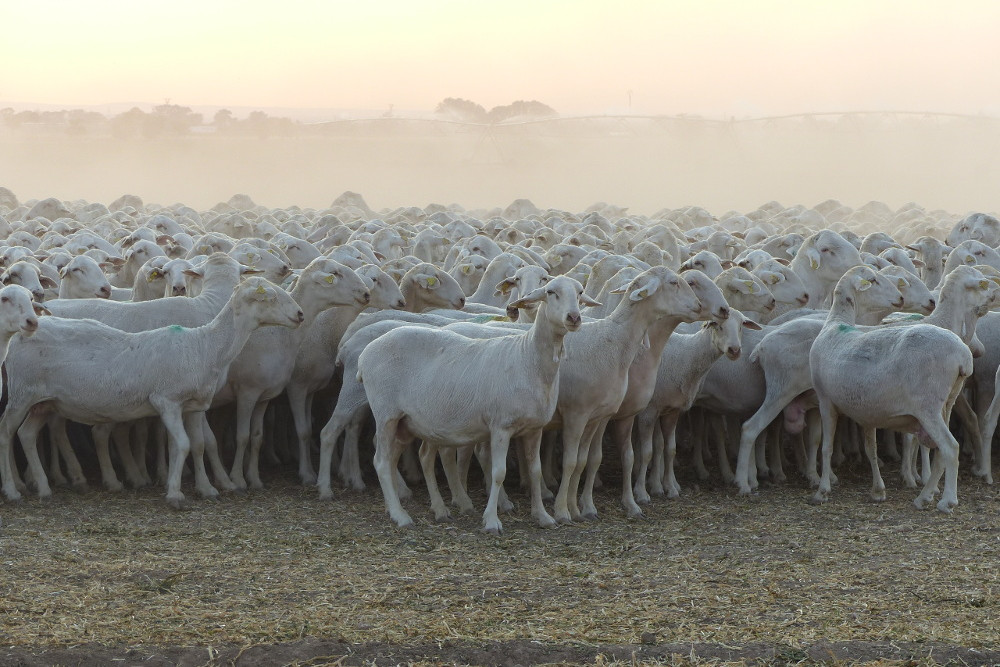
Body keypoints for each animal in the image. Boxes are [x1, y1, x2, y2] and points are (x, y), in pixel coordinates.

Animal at [0, 278, 304, 506]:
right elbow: (182, 444)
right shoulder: (166, 401)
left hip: (44, 402)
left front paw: (206, 489)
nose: (300, 314)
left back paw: (43, 488)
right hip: (21, 394)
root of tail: (23, 334)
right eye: (270, 298)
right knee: (7, 431)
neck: (205, 346)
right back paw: (14, 491)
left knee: (27, 434)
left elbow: (198, 444)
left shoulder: (194, 406)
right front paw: (175, 494)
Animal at [360, 276, 592, 532]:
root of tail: (366, 352)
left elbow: (535, 471)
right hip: (386, 414)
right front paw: (491, 520)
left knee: (399, 458)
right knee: (381, 461)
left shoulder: (535, 428)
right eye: (551, 292)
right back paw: (400, 515)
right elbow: (498, 473)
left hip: (407, 422)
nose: (574, 317)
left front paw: (542, 515)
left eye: (580, 292)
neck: (528, 358)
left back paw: (418, 509)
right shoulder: (501, 426)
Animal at [808, 266, 972, 512]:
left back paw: (947, 501)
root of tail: (963, 354)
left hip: (928, 406)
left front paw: (822, 491)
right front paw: (877, 491)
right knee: (941, 453)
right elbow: (871, 449)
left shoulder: (825, 400)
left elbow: (826, 447)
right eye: (873, 280)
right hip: (948, 401)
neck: (835, 324)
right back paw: (924, 497)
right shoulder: (866, 411)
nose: (901, 298)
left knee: (950, 447)